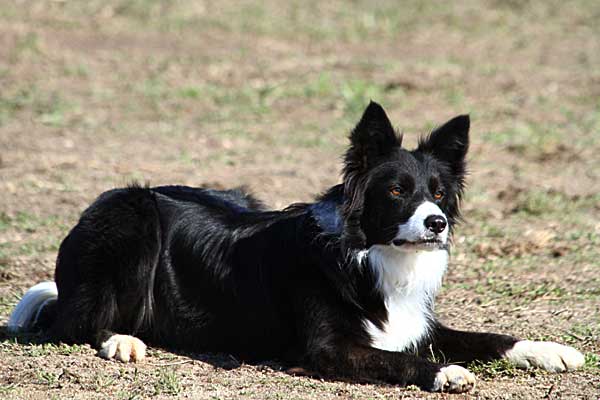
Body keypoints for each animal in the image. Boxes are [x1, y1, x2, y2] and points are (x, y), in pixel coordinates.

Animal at [7, 101, 584, 392]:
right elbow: (398, 360)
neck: (369, 256)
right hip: (130, 215)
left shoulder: (416, 324)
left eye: (439, 193)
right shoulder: (328, 348)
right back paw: (121, 341)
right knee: (75, 321)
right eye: (397, 191)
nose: (437, 223)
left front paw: (547, 350)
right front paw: (445, 372)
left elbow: (487, 337)